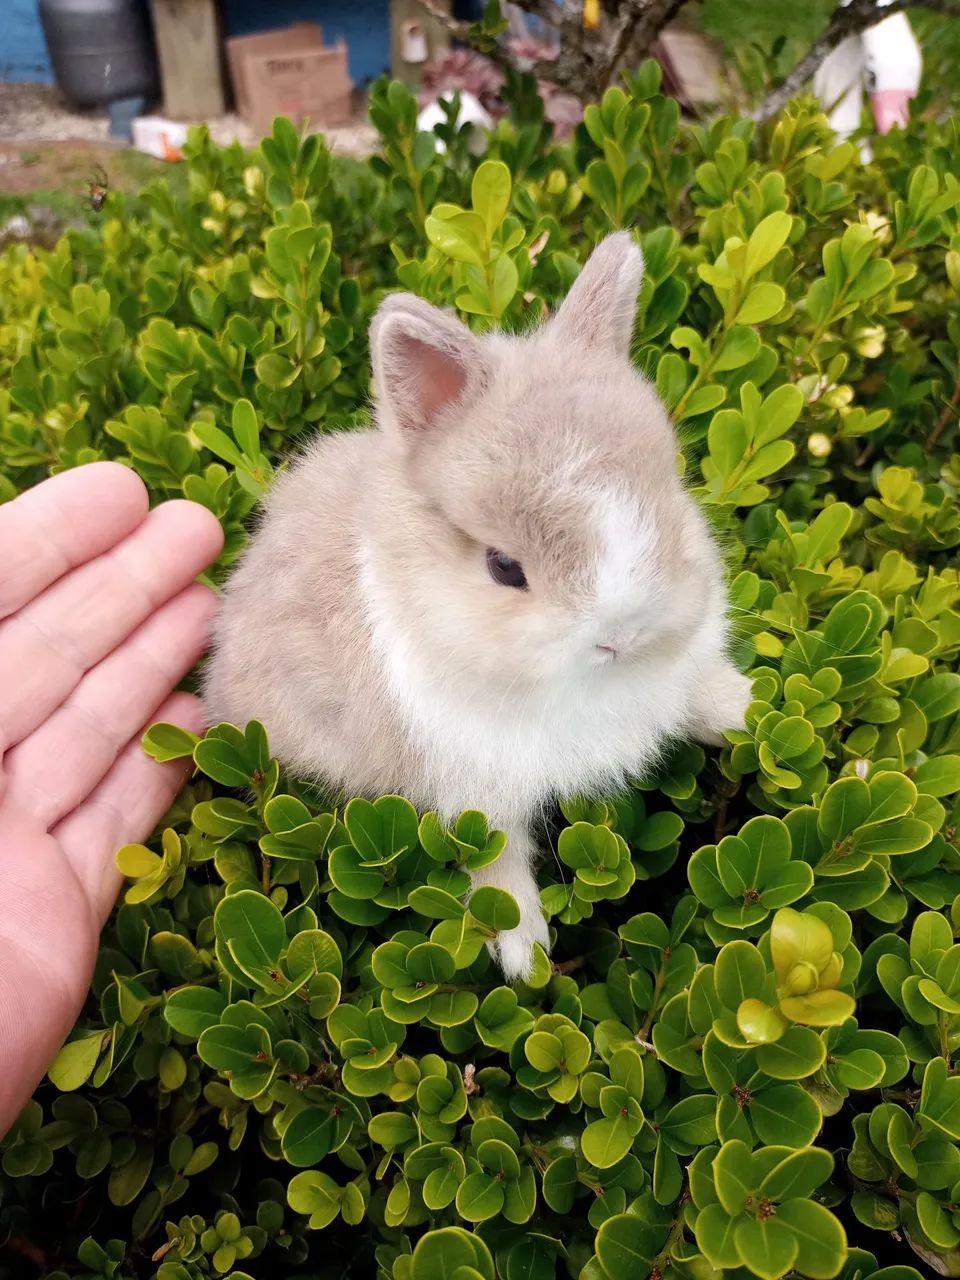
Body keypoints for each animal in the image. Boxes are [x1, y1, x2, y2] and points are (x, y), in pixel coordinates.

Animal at [203, 232, 752, 981]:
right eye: (504, 567)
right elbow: (495, 863)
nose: (621, 635)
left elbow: (706, 696)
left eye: (669, 498)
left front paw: (763, 711)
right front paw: (527, 957)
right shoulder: (474, 784)